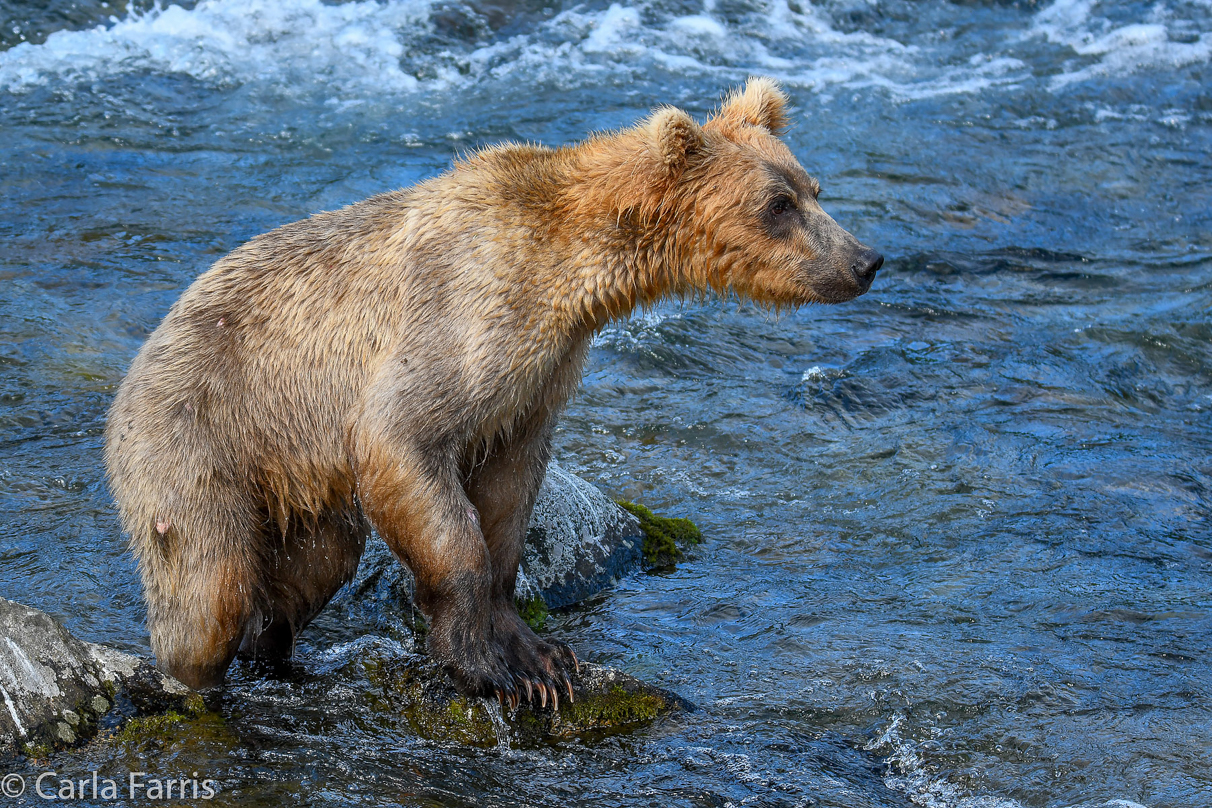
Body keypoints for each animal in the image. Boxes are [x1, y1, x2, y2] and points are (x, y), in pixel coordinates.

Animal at [104, 77, 882, 707]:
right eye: (777, 203)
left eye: (813, 189)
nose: (865, 260)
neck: (574, 271)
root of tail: (137, 363)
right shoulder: (465, 319)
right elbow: (411, 452)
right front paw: (486, 666)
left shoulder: (538, 378)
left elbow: (509, 500)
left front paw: (543, 658)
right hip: (198, 436)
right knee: (210, 592)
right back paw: (193, 681)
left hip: (299, 477)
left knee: (315, 564)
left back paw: (280, 655)